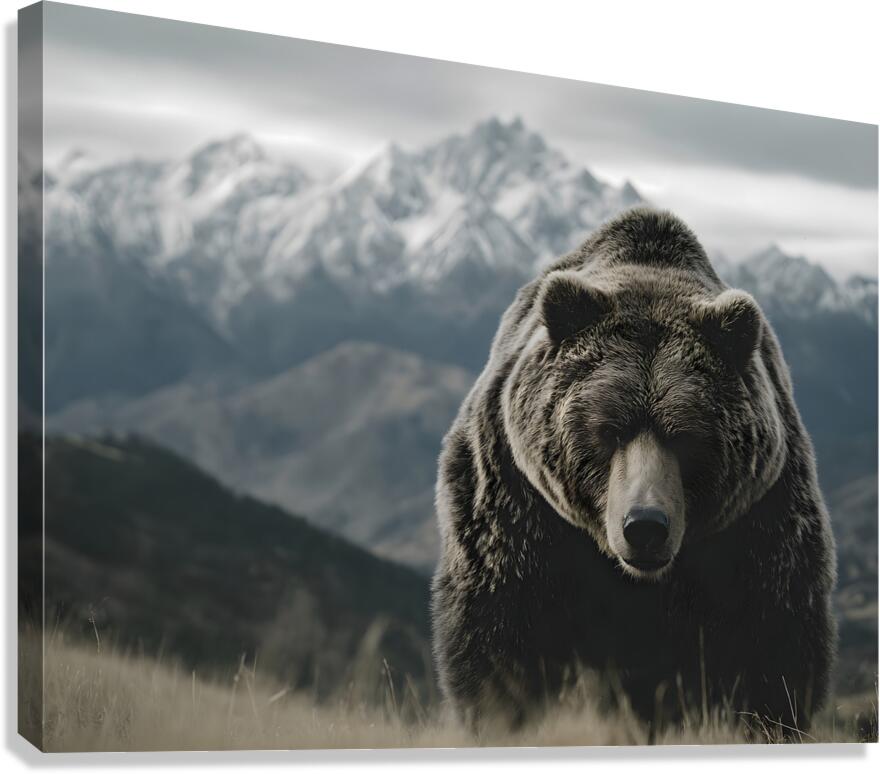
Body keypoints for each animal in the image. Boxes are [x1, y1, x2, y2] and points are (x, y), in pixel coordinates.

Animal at [431, 207, 837, 736]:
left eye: (687, 436)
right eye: (607, 430)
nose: (645, 526)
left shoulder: (758, 524)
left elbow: (769, 649)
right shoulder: (518, 508)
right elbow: (502, 637)